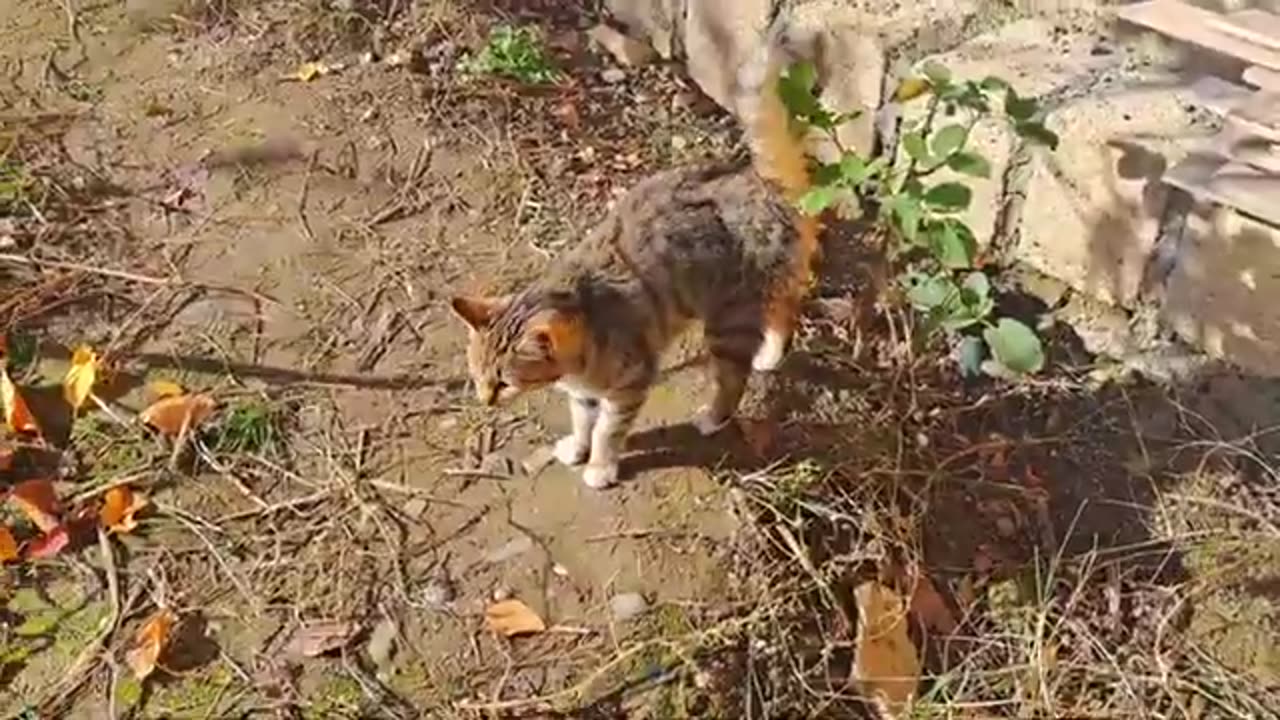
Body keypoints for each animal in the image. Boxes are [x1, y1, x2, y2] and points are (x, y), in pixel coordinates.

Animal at [453, 26, 819, 486]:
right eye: (477, 376)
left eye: (503, 382)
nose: (485, 400)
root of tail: (760, 183)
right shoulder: (583, 392)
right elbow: (582, 419)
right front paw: (578, 448)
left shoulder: (629, 384)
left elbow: (608, 430)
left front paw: (600, 465)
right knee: (785, 304)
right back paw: (771, 352)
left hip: (727, 322)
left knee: (735, 374)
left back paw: (715, 415)